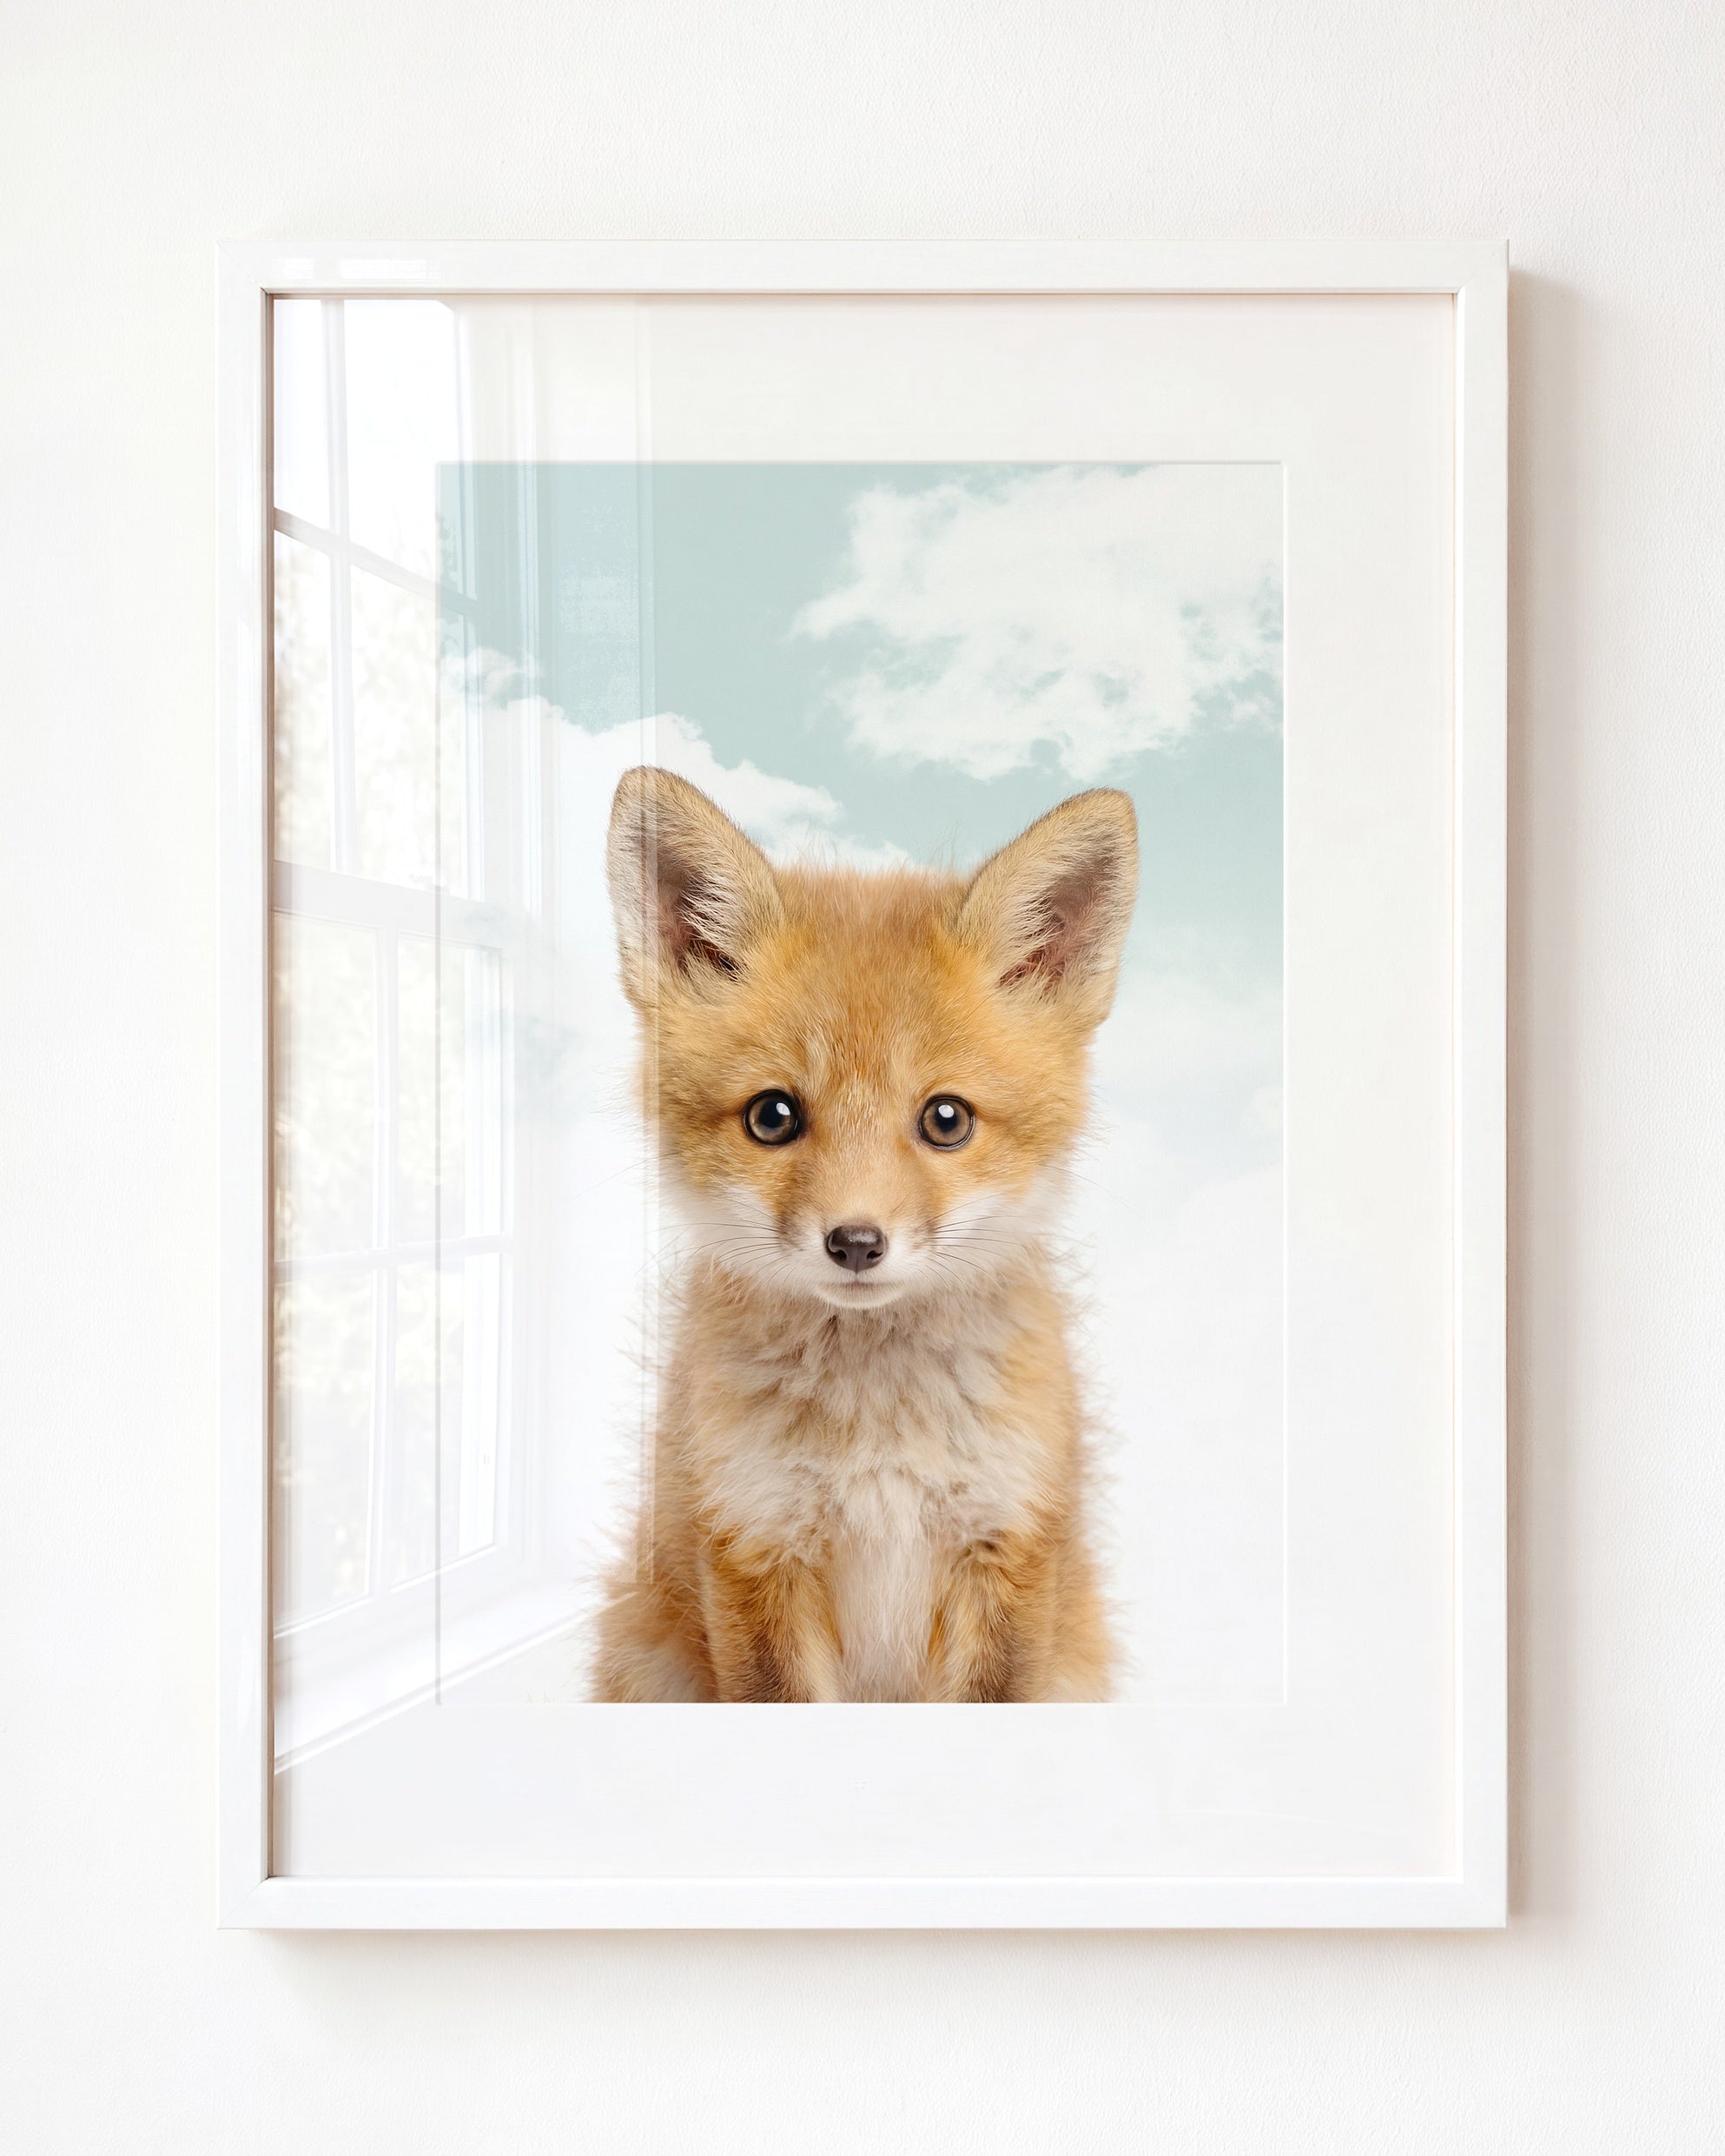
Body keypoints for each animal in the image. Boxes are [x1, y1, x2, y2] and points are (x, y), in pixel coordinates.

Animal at [589, 765, 1139, 1703]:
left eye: (946, 1120)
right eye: (773, 1116)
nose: (854, 1243)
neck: (877, 1440)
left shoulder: (1006, 1546)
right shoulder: (754, 1545)